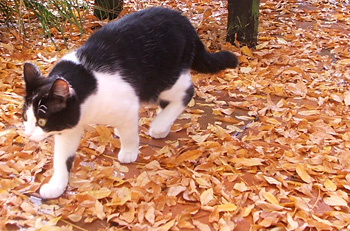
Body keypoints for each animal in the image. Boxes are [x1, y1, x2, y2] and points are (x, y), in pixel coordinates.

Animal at [21, 7, 238, 199]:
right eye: (25, 117)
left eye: (42, 121)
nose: (28, 134)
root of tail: (184, 21)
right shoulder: (69, 125)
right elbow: (61, 157)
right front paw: (56, 185)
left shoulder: (126, 105)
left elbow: (129, 133)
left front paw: (129, 151)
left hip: (162, 79)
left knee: (186, 92)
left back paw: (159, 125)